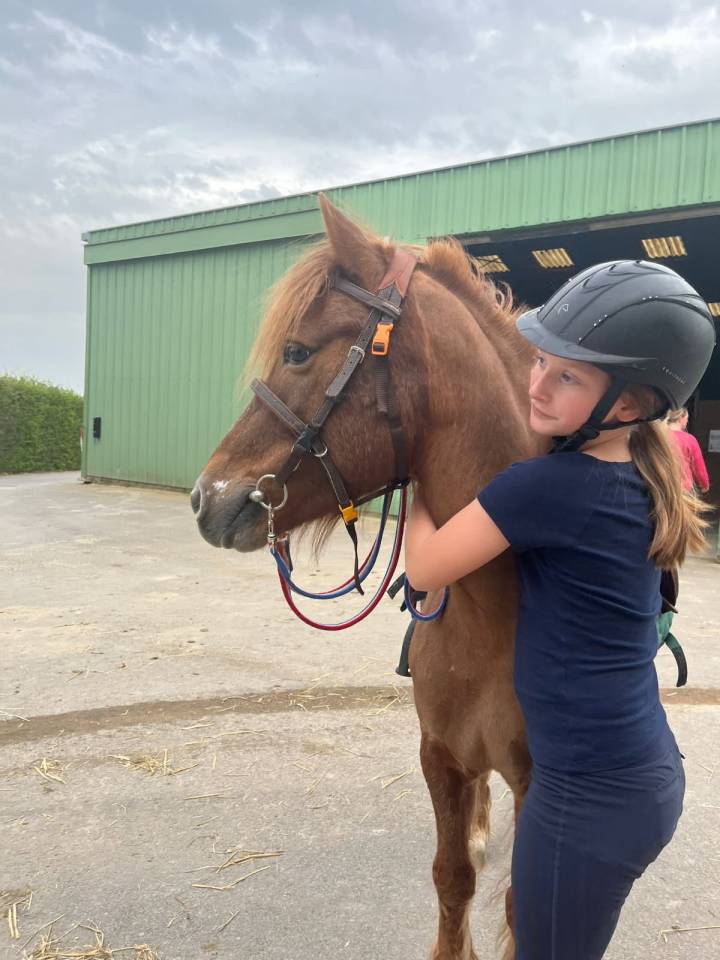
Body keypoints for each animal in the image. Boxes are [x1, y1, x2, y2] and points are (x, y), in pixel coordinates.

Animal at [191, 194, 545, 959]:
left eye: (297, 351)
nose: (205, 498)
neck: (496, 613)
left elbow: (521, 903)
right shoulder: (439, 756)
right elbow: (452, 879)